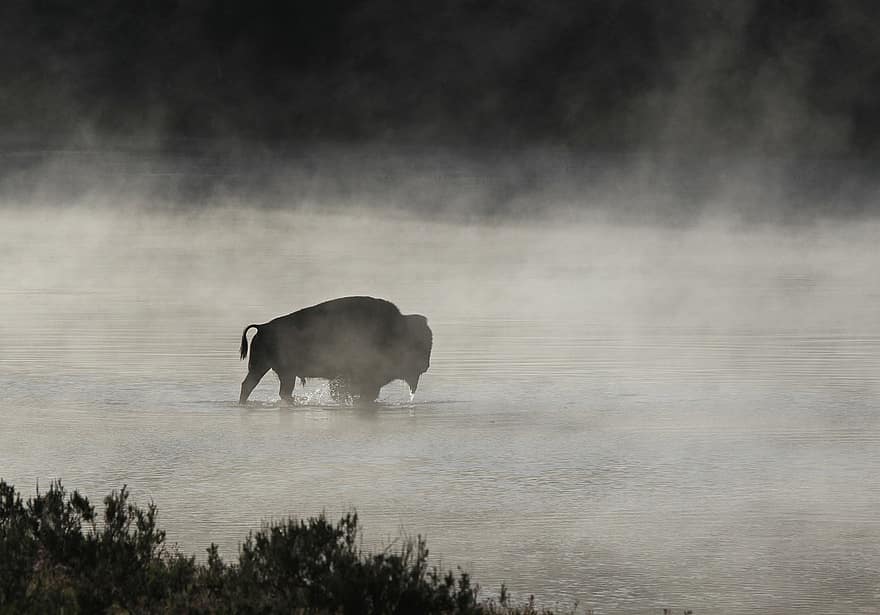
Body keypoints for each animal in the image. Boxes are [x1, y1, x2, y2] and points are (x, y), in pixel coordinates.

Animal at [239, 298, 434, 404]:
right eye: (419, 345)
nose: (425, 366)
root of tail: (263, 327)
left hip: (269, 370)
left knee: (253, 386)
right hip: (275, 371)